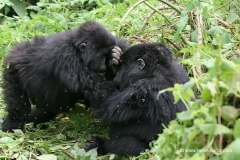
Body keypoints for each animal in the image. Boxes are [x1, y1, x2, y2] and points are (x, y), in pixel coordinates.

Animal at [1, 20, 129, 132]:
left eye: (108, 55)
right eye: (102, 56)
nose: (103, 67)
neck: (77, 48)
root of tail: (15, 54)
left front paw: (114, 60)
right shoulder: (68, 58)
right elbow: (105, 97)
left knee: (47, 110)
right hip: (12, 72)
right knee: (19, 109)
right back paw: (11, 127)